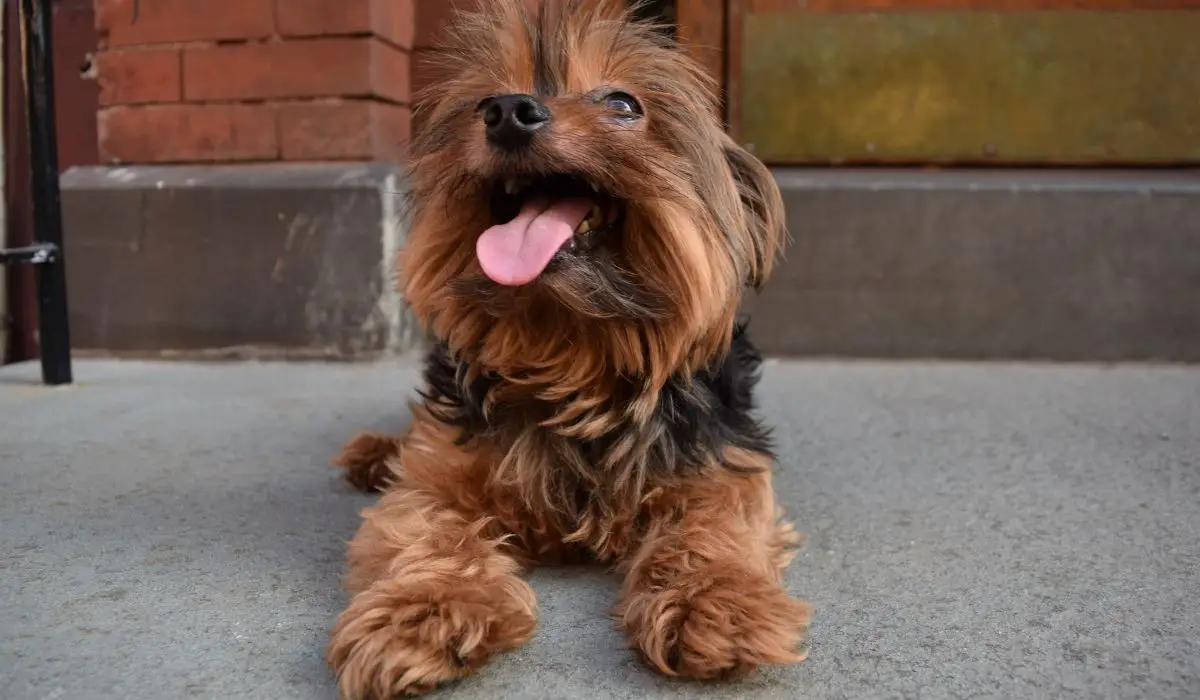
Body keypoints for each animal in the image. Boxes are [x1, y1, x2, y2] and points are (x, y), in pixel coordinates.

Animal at [324, 1, 811, 696]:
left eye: (624, 104)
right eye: (482, 102)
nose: (507, 111)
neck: (572, 354)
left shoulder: (719, 464)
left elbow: (715, 525)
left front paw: (716, 602)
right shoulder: (438, 475)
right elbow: (421, 525)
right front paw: (425, 609)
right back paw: (374, 453)